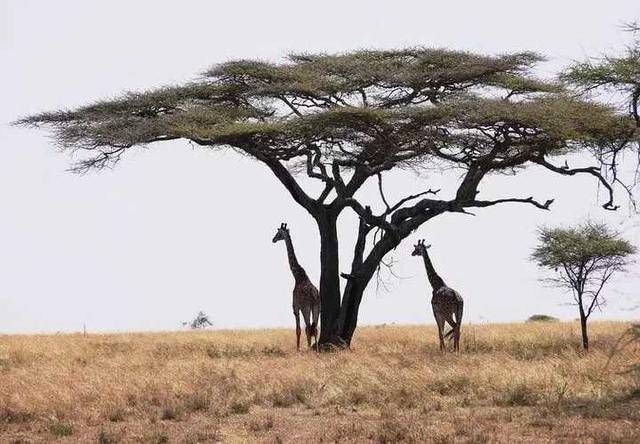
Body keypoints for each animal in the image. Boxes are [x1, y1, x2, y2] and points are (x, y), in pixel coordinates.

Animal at [272, 222, 320, 350]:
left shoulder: (295, 307)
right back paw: (316, 349)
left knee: (308, 327)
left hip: (306, 307)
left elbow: (298, 330)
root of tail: (313, 296)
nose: (273, 239)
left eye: (278, 233)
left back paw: (309, 349)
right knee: (315, 328)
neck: (298, 276)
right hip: (317, 307)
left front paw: (298, 349)